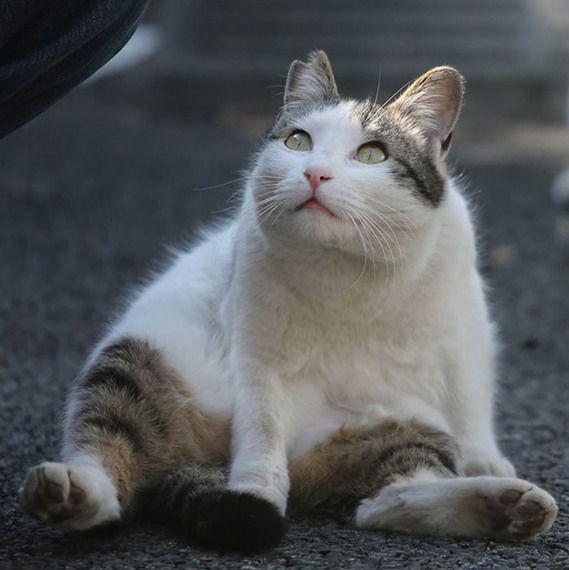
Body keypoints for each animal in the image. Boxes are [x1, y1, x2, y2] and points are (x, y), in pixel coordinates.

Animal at [21, 50, 556, 552]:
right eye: (298, 142)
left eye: (372, 154)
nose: (315, 174)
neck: (348, 273)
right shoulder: (255, 347)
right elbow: (260, 427)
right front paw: (254, 491)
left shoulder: (465, 328)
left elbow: (470, 399)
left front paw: (486, 457)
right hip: (135, 362)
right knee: (107, 448)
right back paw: (69, 492)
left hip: (405, 421)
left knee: (389, 499)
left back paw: (504, 506)